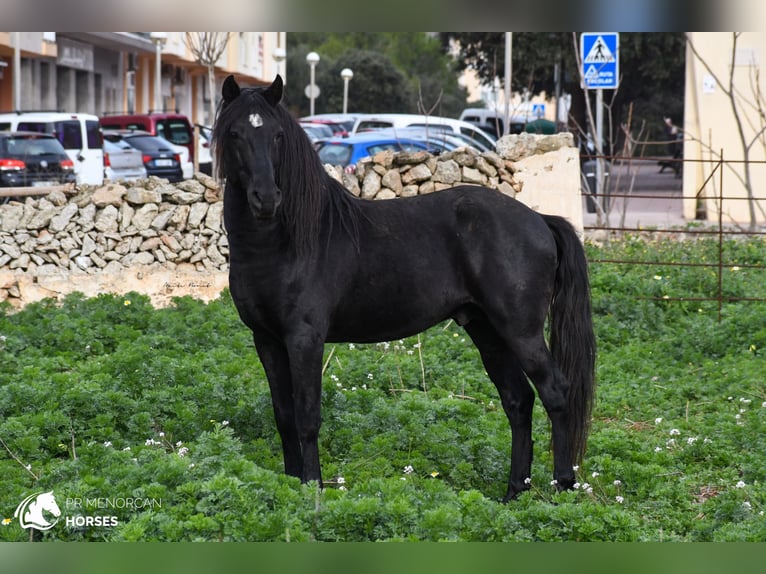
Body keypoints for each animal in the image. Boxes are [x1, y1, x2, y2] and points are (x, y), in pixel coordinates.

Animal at [213, 76, 596, 504]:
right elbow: (283, 416)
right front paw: (293, 485)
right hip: (487, 329)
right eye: (235, 133)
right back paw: (514, 492)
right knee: (518, 400)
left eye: (278, 135)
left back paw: (562, 486)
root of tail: (540, 220)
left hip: (522, 332)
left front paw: (313, 489)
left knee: (555, 392)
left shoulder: (304, 338)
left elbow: (307, 416)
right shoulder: (266, 339)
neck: (288, 241)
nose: (266, 199)